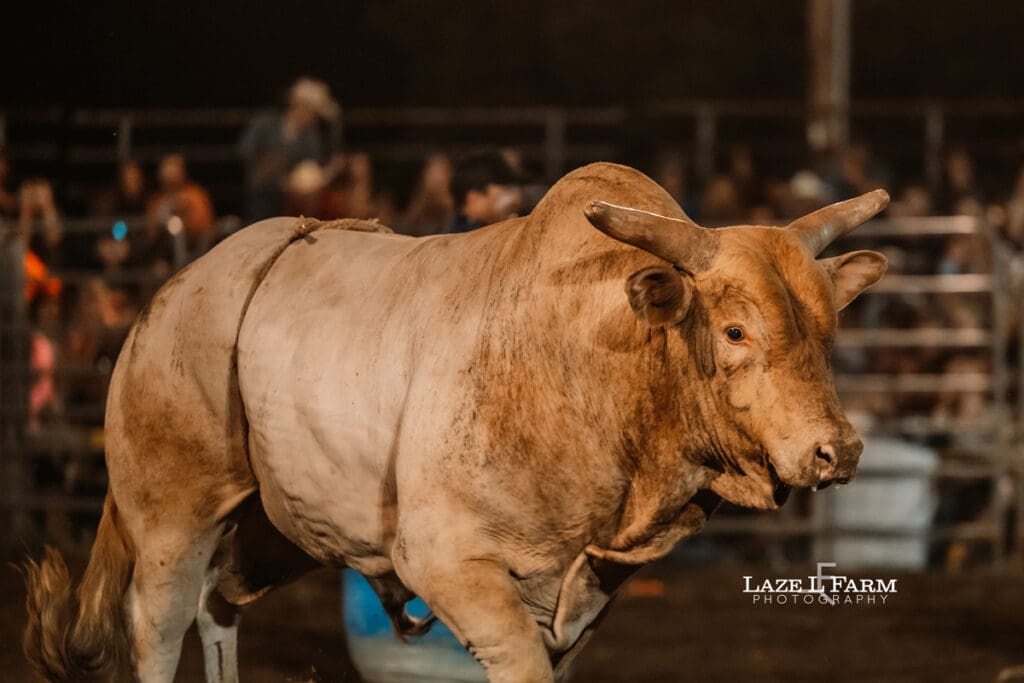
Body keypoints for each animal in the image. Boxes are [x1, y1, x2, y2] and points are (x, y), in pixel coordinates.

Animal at [23, 162, 887, 682]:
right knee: (160, 620)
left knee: (220, 603)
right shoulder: (445, 561)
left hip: (280, 524)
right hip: (172, 510)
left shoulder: (587, 588)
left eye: (826, 329)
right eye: (736, 329)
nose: (837, 449)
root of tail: (167, 300)